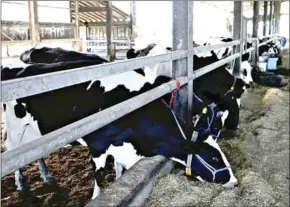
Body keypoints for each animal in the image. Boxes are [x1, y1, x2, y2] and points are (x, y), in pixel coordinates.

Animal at [1, 45, 238, 199]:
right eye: (214, 158)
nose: (234, 180)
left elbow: (119, 170)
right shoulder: (98, 146)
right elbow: (99, 176)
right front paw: (96, 197)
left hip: (36, 132)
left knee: (36, 153)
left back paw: (46, 176)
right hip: (16, 128)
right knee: (13, 152)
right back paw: (21, 185)